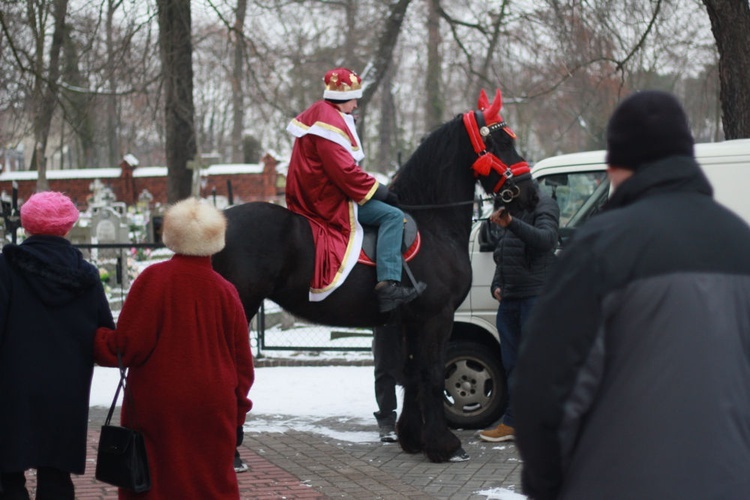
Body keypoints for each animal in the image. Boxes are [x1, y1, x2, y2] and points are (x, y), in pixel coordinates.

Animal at [212, 88, 528, 462]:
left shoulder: (410, 319)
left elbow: (411, 374)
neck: (434, 225)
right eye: (501, 141)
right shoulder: (437, 316)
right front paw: (445, 445)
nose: (530, 192)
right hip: (241, 307)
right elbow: (433, 373)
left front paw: (414, 438)